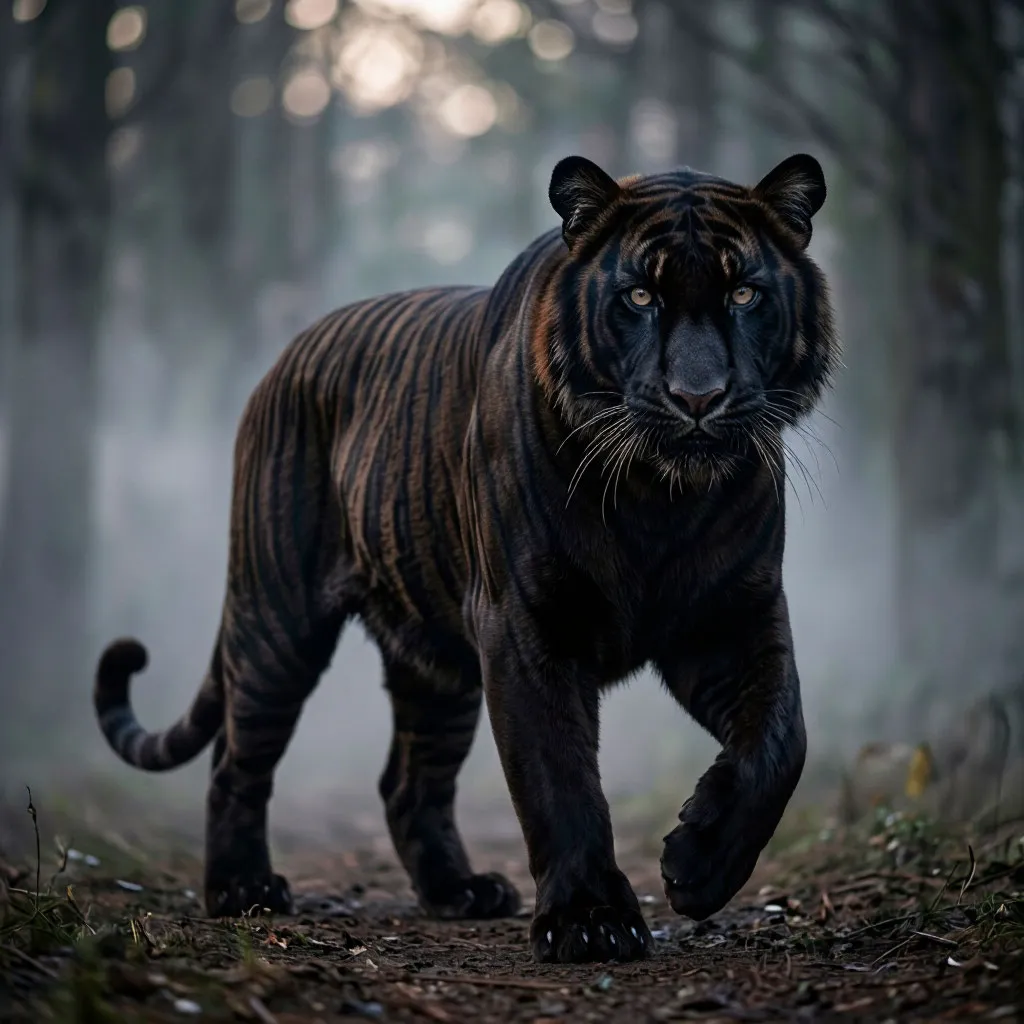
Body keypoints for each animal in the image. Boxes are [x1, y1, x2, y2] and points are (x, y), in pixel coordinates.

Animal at [94, 152, 838, 964]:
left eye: (744, 293)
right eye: (640, 295)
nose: (697, 397)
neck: (659, 498)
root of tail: (288, 354)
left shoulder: (735, 619)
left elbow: (782, 741)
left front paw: (699, 866)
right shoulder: (527, 625)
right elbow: (559, 777)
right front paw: (590, 921)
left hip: (437, 665)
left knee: (408, 781)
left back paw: (460, 891)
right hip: (278, 620)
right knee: (239, 758)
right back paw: (242, 889)